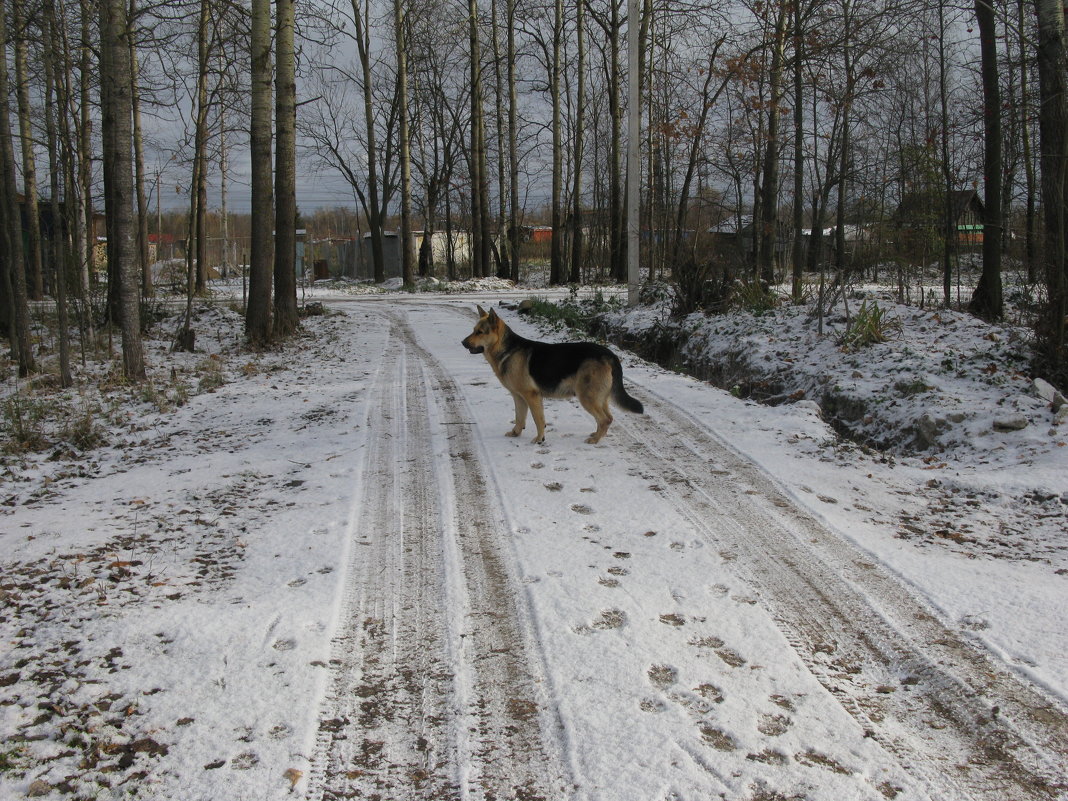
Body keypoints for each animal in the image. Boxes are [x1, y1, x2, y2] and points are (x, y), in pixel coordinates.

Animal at [461, 305, 640, 446]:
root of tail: (609, 354)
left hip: (587, 397)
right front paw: (516, 433)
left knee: (605, 419)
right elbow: (519, 417)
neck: (506, 349)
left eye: (480, 332)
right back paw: (597, 435)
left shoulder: (531, 396)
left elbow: (538, 420)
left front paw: (539, 439)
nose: (462, 343)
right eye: (473, 331)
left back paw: (595, 440)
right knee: (607, 418)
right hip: (599, 397)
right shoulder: (518, 397)